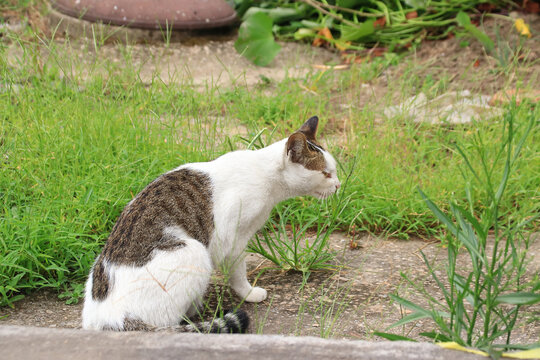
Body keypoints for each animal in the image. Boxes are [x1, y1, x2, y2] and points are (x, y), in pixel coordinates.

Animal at [80, 115, 340, 332]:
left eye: (333, 171)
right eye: (326, 173)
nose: (338, 185)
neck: (265, 175)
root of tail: (111, 318)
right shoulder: (233, 238)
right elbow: (238, 273)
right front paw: (249, 293)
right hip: (194, 252)